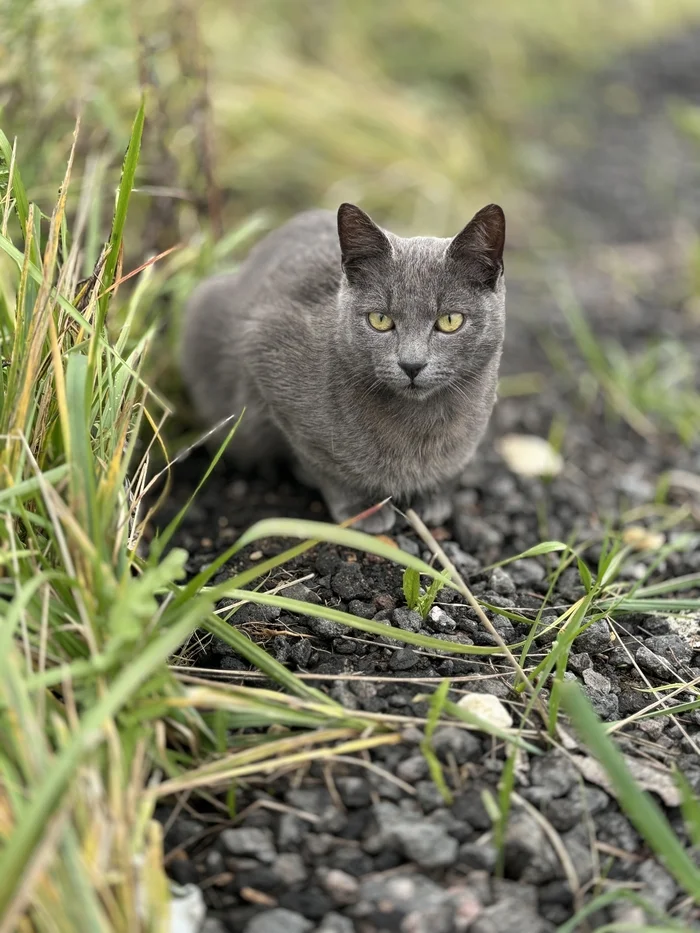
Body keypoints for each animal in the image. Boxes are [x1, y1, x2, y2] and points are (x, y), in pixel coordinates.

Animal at [180, 203, 506, 532]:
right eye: (379, 319)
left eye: (450, 320)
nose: (411, 364)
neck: (423, 425)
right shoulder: (264, 353)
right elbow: (328, 468)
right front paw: (362, 509)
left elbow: (452, 467)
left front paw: (434, 499)